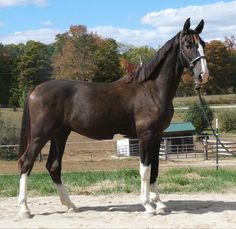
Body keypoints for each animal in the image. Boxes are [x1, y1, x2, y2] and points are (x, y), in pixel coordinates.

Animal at [18, 18, 208, 217]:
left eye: (202, 44)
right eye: (187, 44)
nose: (203, 75)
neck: (152, 90)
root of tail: (35, 89)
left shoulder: (157, 136)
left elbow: (155, 168)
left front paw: (160, 204)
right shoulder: (145, 136)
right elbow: (145, 170)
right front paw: (148, 205)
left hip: (59, 134)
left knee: (53, 166)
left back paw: (70, 205)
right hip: (41, 135)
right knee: (26, 162)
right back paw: (24, 209)